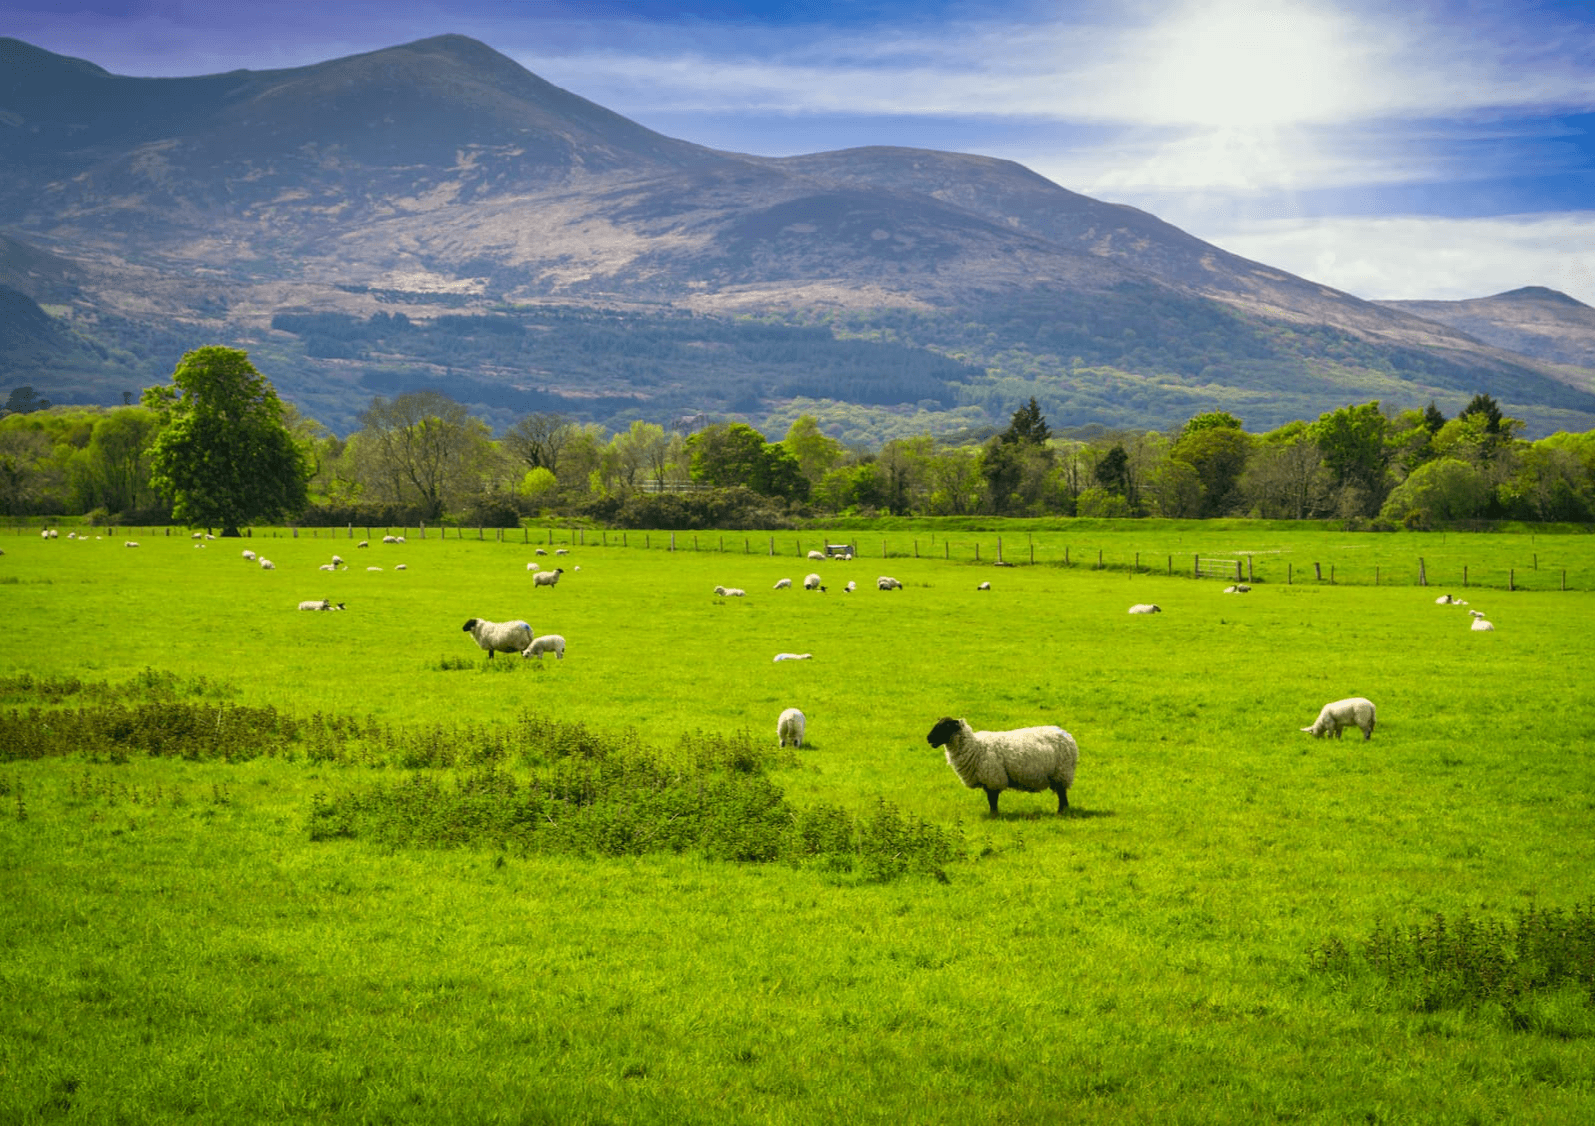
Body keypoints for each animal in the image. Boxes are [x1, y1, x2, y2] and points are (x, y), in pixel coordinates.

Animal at [925, 714, 1084, 810]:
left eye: (945, 726)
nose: (928, 738)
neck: (975, 747)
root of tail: (1068, 736)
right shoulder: (988, 780)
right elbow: (991, 799)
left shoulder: (993, 778)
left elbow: (992, 800)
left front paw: (994, 816)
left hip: (1062, 772)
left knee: (1062, 794)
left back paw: (1061, 812)